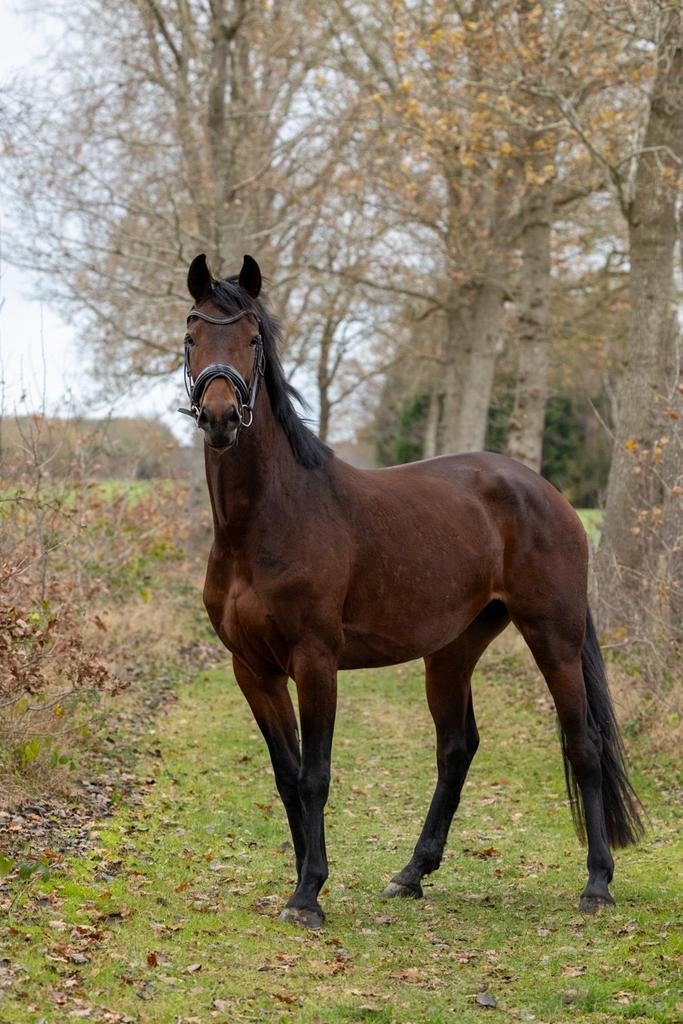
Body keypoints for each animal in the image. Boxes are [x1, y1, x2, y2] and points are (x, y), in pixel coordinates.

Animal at [180, 252, 643, 930]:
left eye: (253, 340)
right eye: (193, 336)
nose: (218, 417)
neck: (265, 520)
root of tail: (545, 492)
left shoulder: (316, 662)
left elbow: (316, 774)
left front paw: (309, 894)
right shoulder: (252, 669)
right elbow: (287, 776)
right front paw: (302, 883)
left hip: (553, 635)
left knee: (583, 742)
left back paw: (598, 884)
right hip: (452, 650)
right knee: (456, 749)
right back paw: (411, 873)